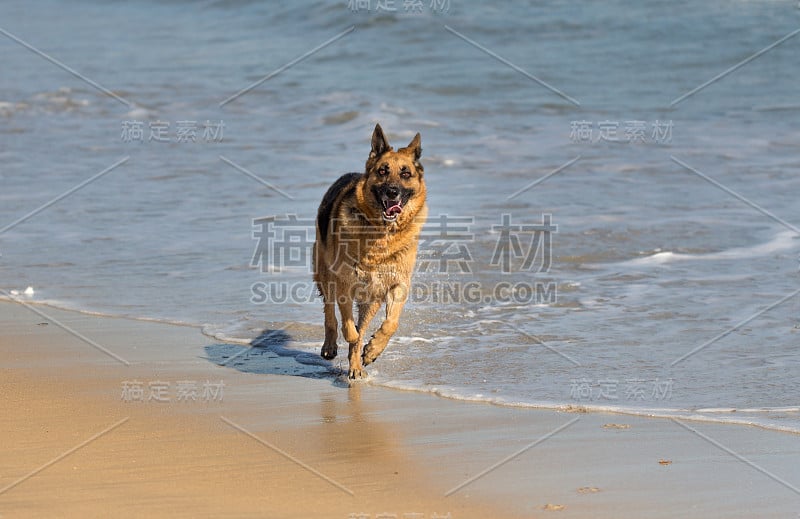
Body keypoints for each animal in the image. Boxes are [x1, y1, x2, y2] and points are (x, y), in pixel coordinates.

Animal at [312, 124, 428, 380]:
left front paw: (372, 350)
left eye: (405, 174)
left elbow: (390, 323)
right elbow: (349, 327)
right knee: (329, 312)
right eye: (383, 171)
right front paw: (354, 340)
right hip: (325, 274)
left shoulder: (395, 285)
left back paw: (357, 364)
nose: (393, 192)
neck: (382, 233)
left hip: (370, 298)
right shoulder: (344, 283)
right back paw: (331, 346)